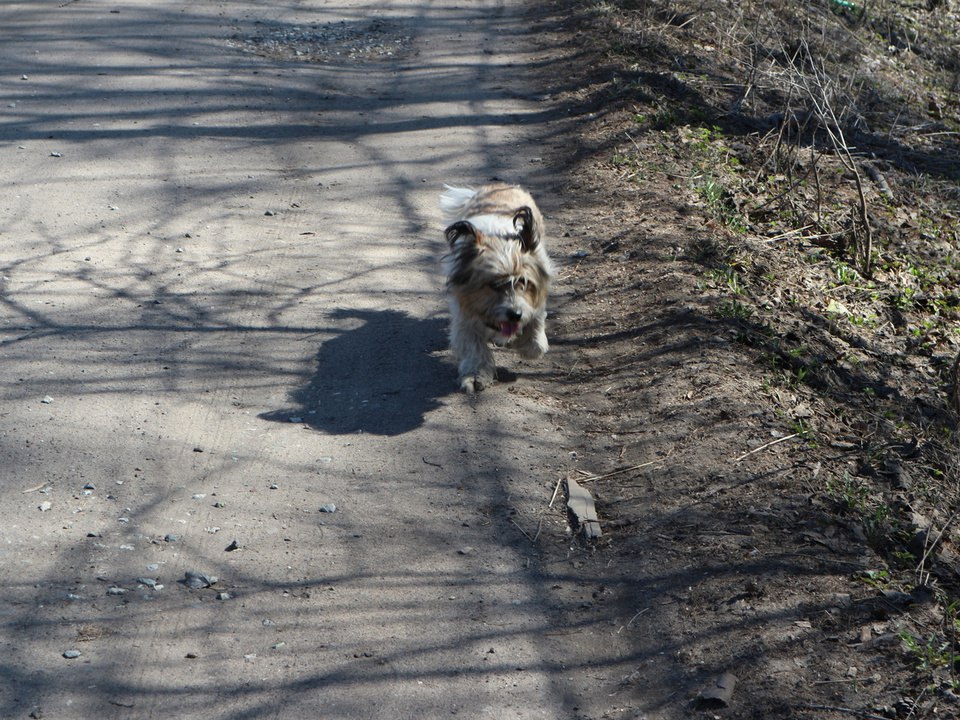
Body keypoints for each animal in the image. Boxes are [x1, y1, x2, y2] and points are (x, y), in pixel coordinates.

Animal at [438, 183, 552, 390]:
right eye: (493, 284)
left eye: (523, 282)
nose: (515, 314)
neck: (500, 244)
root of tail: (497, 185)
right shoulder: (464, 314)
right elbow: (473, 346)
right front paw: (475, 375)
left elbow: (536, 332)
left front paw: (528, 343)